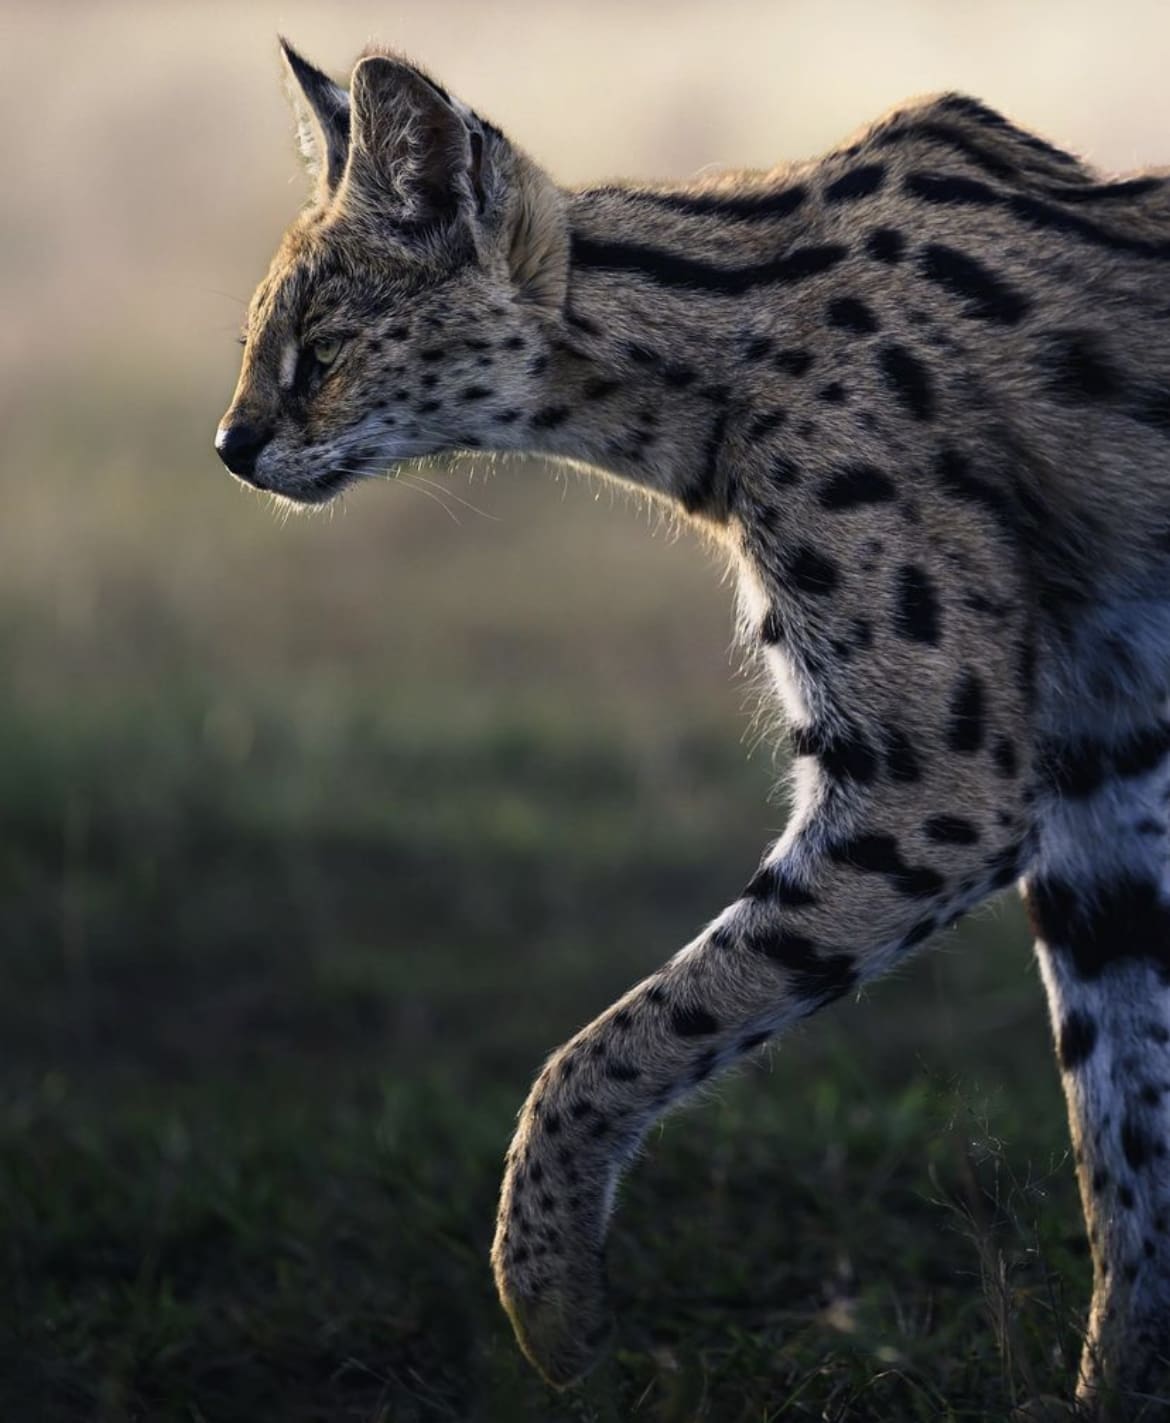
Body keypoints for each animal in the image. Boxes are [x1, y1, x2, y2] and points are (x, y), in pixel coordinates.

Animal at [214, 38, 1170, 1405]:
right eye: (257, 337)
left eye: (323, 345)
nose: (228, 446)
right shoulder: (1094, 762)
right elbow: (1124, 1130)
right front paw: (1113, 1389)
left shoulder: (939, 783)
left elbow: (619, 1039)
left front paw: (548, 1300)